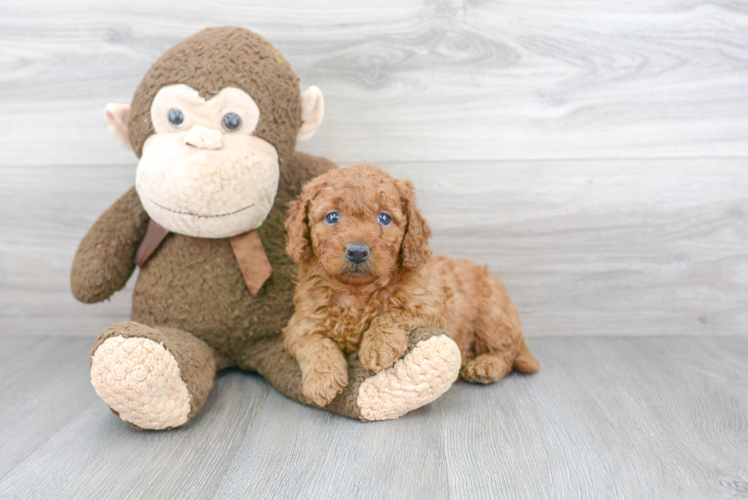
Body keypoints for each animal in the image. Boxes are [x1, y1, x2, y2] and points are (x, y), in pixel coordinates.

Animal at [282, 164, 536, 406]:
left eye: (384, 218)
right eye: (332, 217)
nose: (357, 251)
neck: (357, 292)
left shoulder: (429, 307)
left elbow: (392, 313)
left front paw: (378, 345)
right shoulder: (301, 322)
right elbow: (313, 343)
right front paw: (322, 378)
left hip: (492, 317)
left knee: (506, 352)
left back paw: (485, 366)